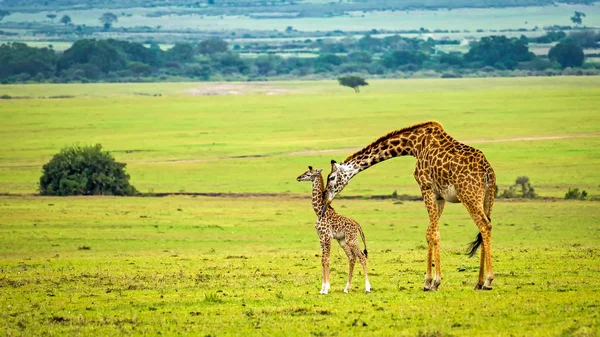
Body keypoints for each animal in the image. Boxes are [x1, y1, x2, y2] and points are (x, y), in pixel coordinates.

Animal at [324, 120, 496, 288]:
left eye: (331, 177)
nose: (326, 197)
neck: (414, 145)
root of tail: (487, 171)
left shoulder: (426, 187)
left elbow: (434, 233)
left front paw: (435, 281)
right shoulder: (439, 196)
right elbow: (429, 232)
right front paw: (427, 282)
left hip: (469, 196)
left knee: (484, 225)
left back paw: (488, 280)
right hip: (488, 197)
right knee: (485, 226)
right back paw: (479, 282)